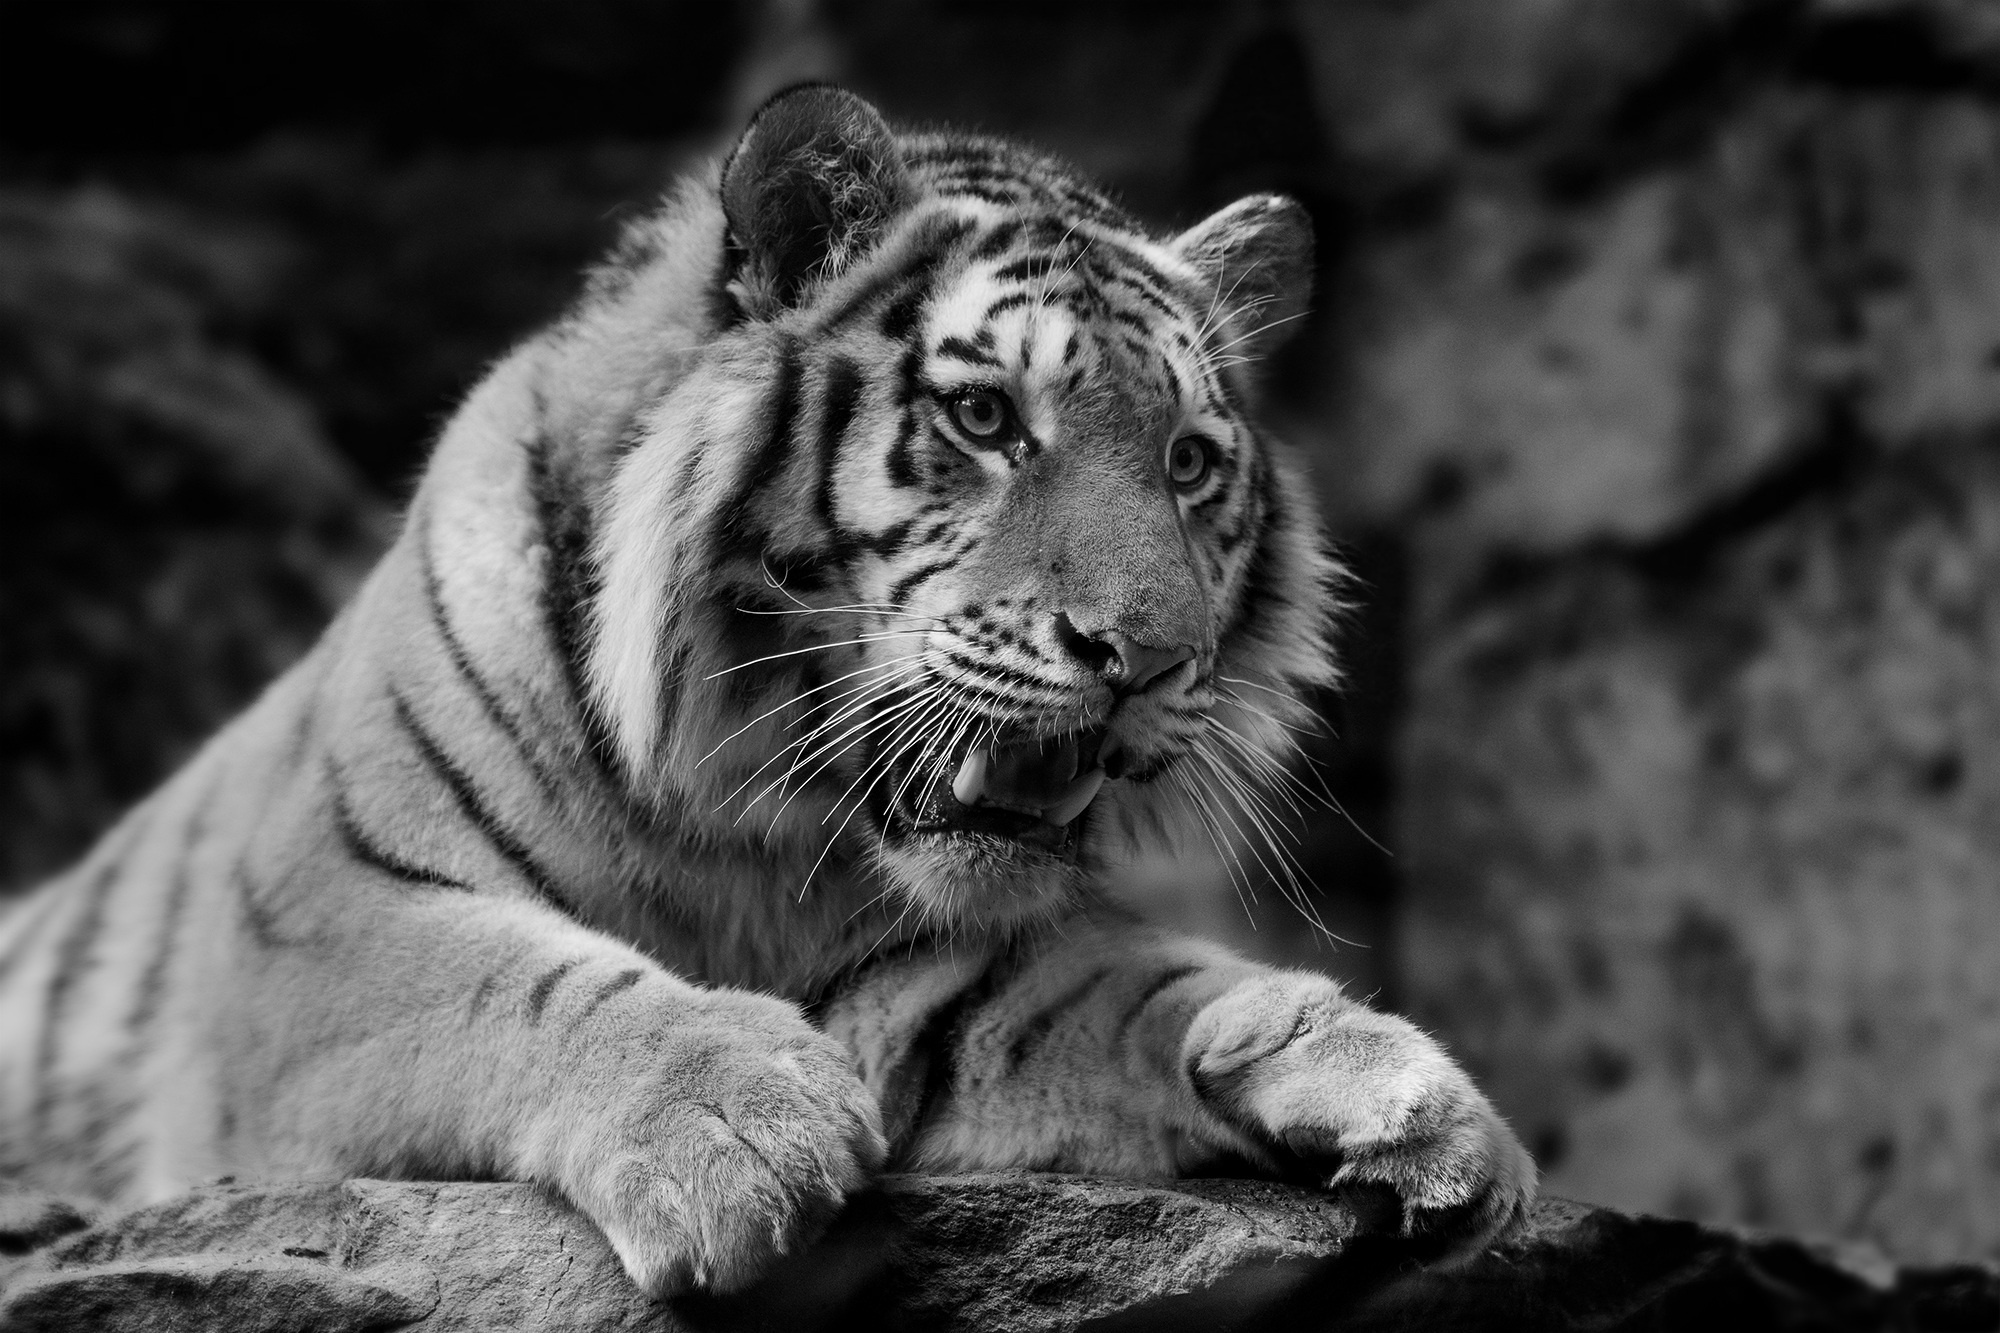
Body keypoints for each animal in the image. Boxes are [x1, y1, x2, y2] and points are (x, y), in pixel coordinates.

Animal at [0, 86, 1533, 1296]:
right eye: (985, 417)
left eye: (1190, 462)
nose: (1146, 659)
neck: (736, 804)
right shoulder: (313, 934)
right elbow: (513, 979)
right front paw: (731, 1125)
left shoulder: (934, 977)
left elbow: (1136, 986)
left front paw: (1401, 1091)